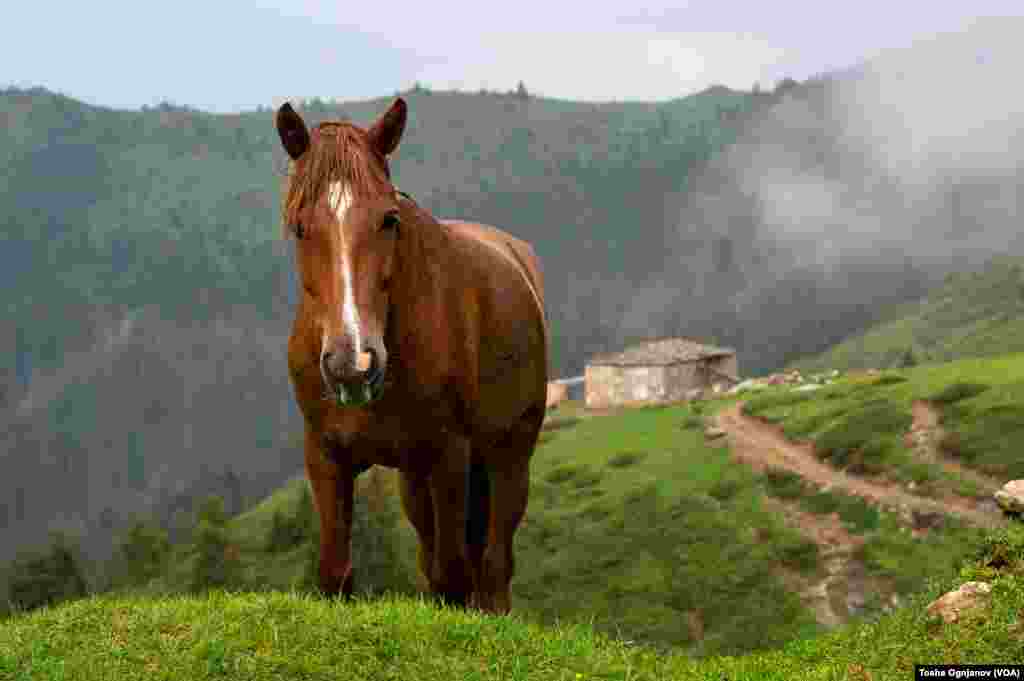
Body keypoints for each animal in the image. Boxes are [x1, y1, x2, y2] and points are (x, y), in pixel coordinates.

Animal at [270, 95, 544, 610]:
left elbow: (454, 577)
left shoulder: (450, 455)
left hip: (509, 456)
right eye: (300, 227)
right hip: (414, 480)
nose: (353, 366)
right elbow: (336, 574)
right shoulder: (325, 456)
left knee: (494, 568)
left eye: (388, 219)